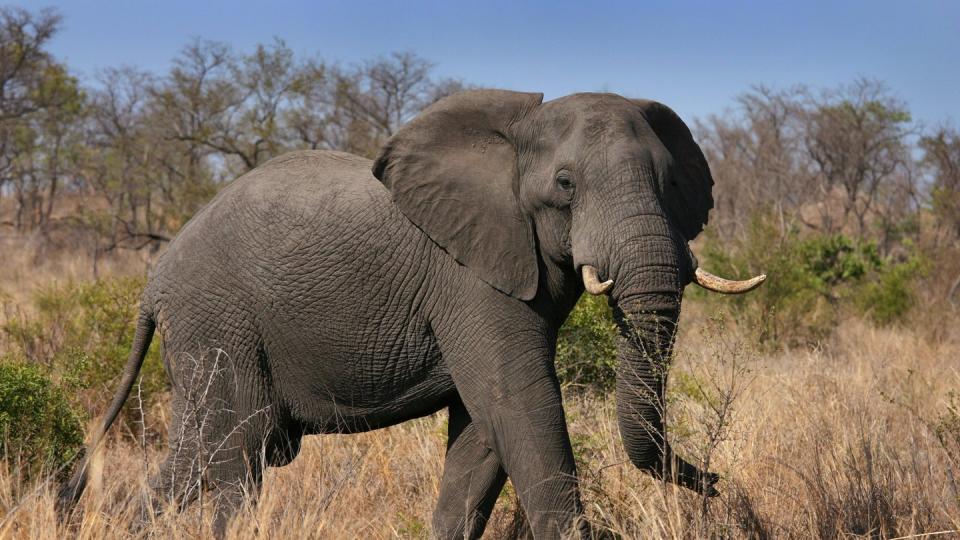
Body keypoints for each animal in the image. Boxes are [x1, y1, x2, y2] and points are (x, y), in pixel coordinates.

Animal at [58, 90, 764, 536]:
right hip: (218, 322)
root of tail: (153, 281)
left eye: (671, 184)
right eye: (565, 186)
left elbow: (483, 433)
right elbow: (519, 403)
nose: (716, 483)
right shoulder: (468, 274)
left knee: (200, 461)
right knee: (233, 456)